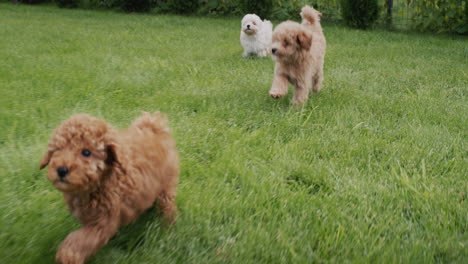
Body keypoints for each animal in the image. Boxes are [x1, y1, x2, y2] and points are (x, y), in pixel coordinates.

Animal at [39, 112, 179, 264]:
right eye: (58, 149)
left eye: (86, 152)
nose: (61, 170)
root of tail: (154, 127)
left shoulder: (103, 222)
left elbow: (81, 240)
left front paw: (68, 256)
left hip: (167, 185)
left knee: (167, 206)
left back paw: (168, 227)